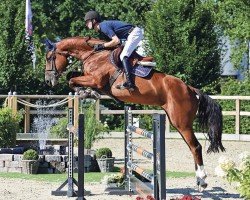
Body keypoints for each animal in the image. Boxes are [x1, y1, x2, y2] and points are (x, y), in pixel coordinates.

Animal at [44, 36, 226, 191]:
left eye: (49, 57)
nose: (48, 81)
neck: (93, 54)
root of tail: (190, 89)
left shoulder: (95, 80)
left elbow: (71, 79)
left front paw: (86, 92)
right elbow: (72, 76)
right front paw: (86, 92)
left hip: (181, 122)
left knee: (196, 146)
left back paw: (202, 180)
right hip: (177, 121)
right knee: (192, 147)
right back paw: (198, 181)